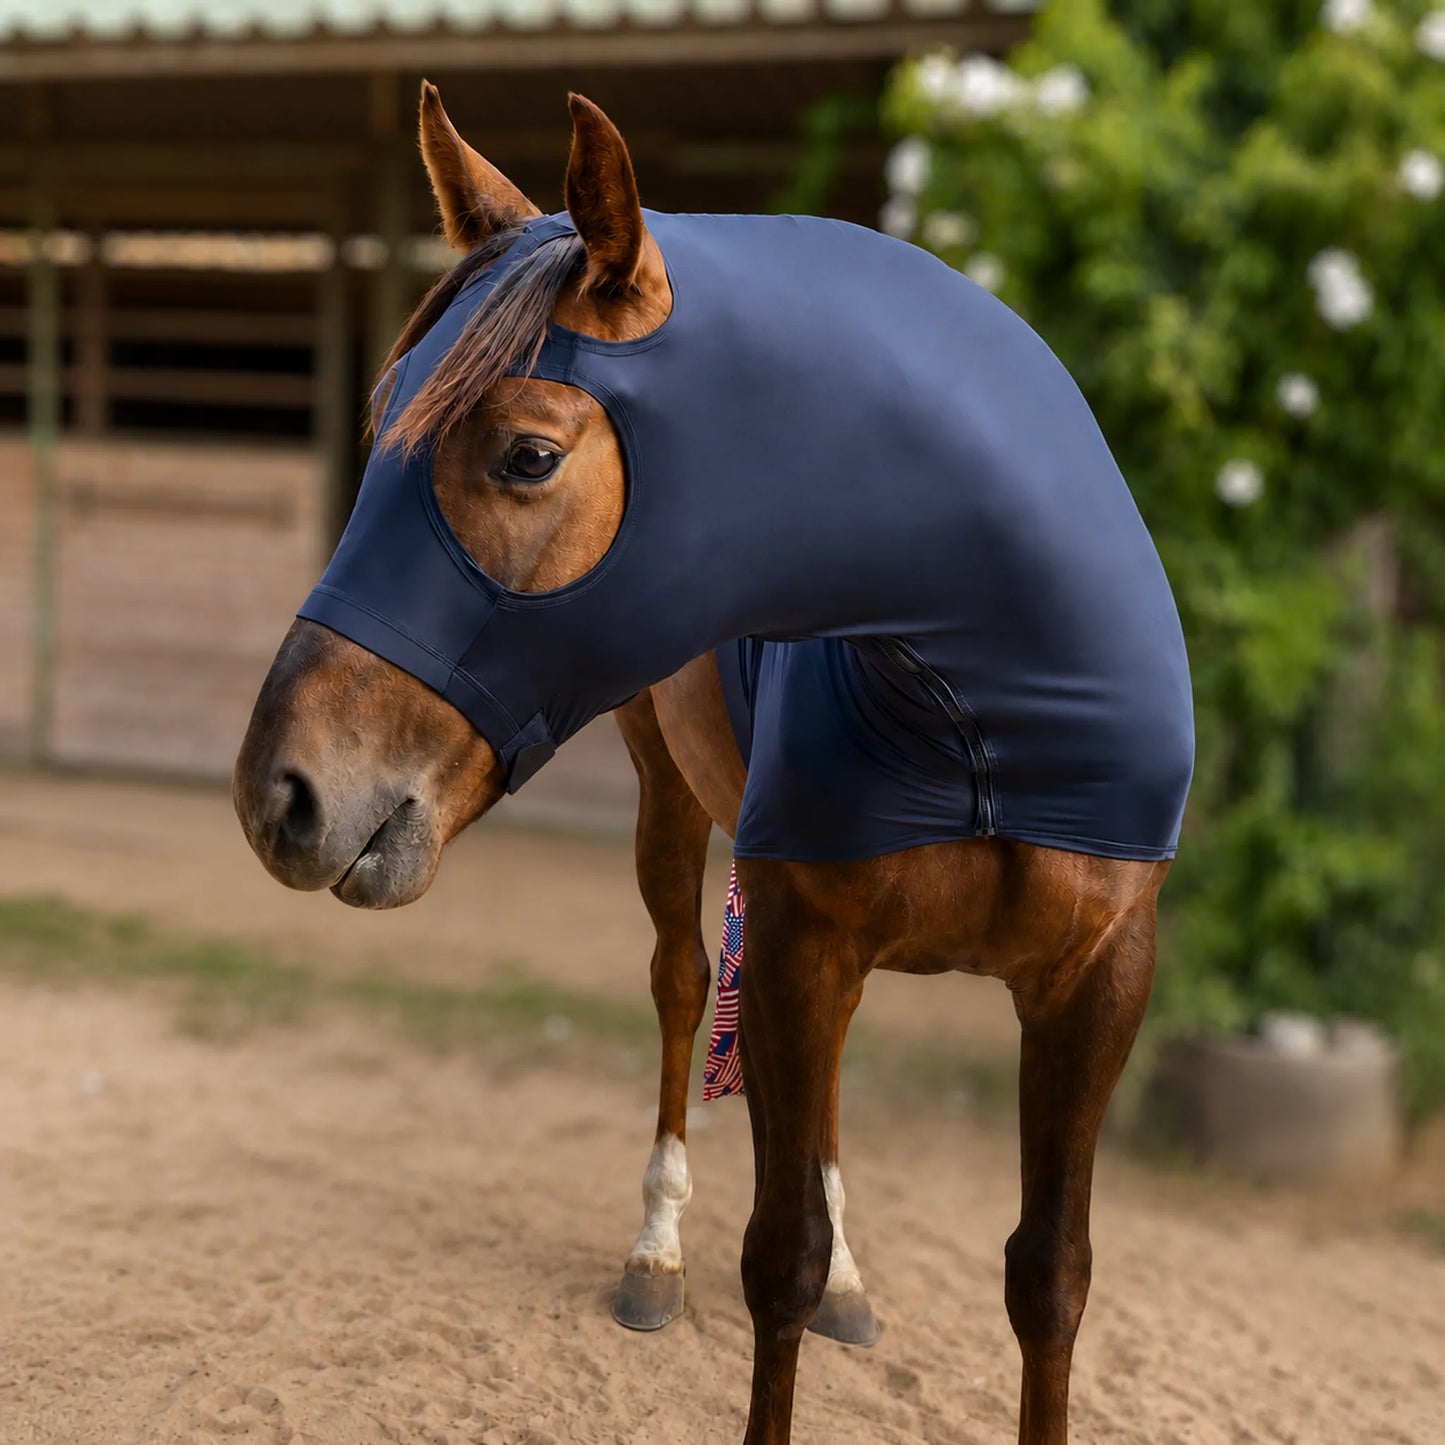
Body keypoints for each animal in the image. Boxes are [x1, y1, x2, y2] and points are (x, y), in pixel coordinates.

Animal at [234, 84, 1192, 1445]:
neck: (979, 717)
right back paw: (655, 1250)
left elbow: (1048, 1272)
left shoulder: (1097, 981)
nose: (282, 792)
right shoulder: (797, 941)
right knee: (683, 985)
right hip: (672, 802)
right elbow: (775, 1254)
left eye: (528, 455)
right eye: (374, 433)